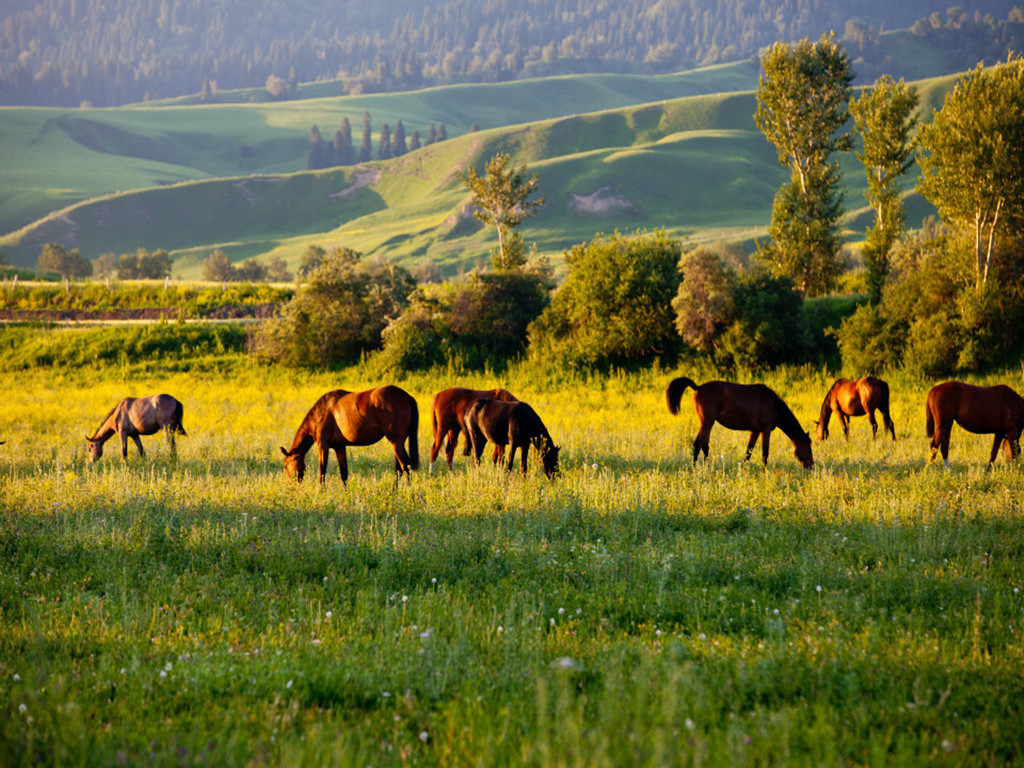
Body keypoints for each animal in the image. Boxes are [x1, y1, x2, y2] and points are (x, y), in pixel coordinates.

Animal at [278, 387, 417, 483]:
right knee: (399, 469)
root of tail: (406, 396)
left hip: (396, 442)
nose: (290, 486)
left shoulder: (323, 446)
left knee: (405, 467)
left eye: (285, 466)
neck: (321, 412)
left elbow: (322, 472)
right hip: (398, 443)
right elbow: (344, 473)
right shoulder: (339, 447)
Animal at [663, 376, 815, 473]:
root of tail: (698, 387)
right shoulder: (765, 430)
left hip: (708, 424)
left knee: (703, 446)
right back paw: (697, 469)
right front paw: (764, 473)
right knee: (698, 445)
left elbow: (748, 452)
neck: (773, 404)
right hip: (707, 423)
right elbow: (765, 453)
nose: (811, 467)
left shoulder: (755, 431)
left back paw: (703, 468)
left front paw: (744, 471)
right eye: (808, 449)